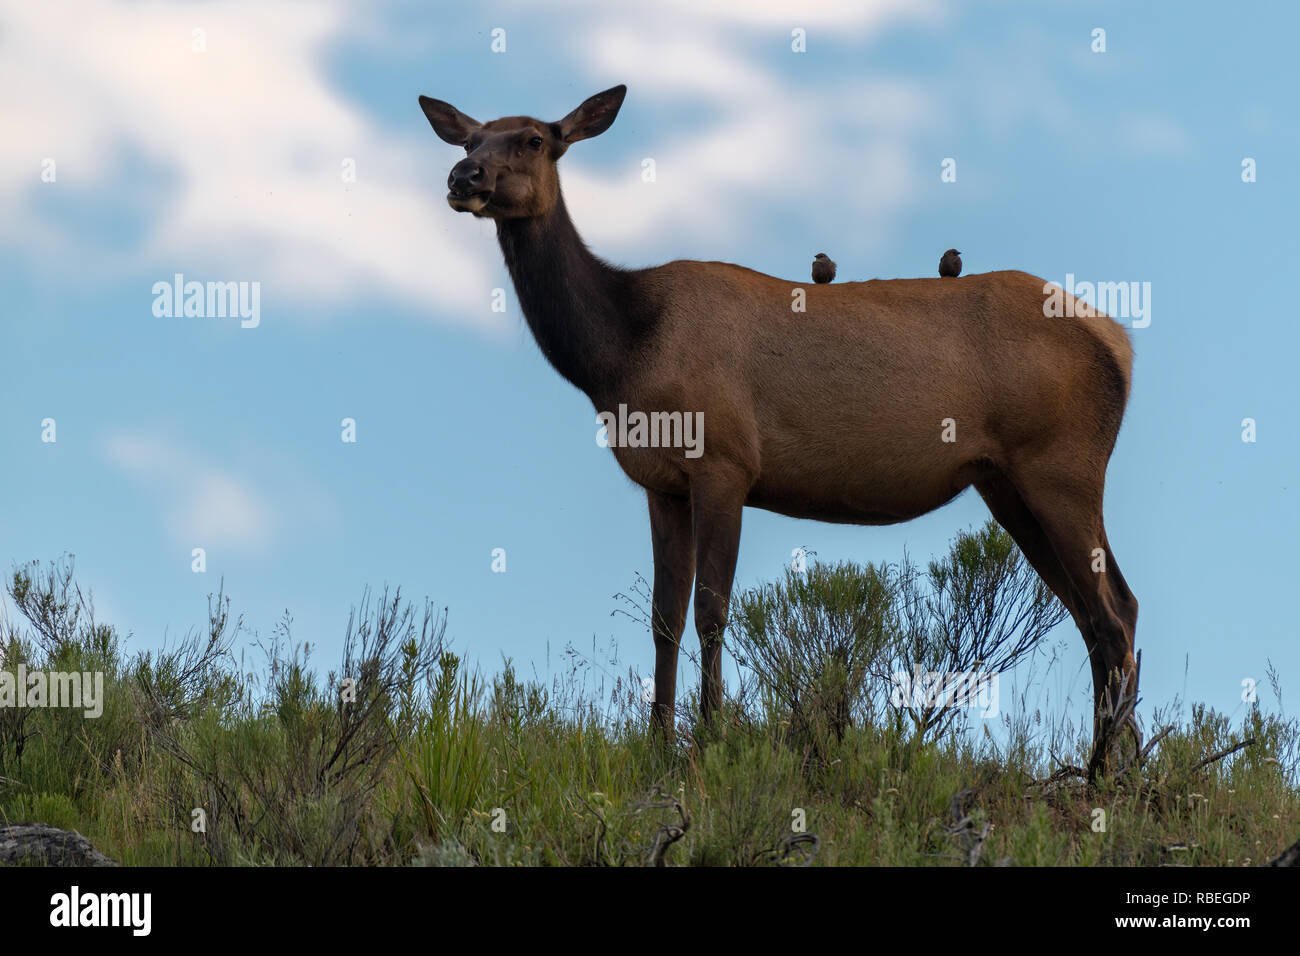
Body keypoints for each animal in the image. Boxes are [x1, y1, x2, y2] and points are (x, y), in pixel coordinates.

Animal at [419, 84, 1140, 777]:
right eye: (472, 137)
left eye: (535, 139)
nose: (462, 176)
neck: (622, 353)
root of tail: (1120, 343)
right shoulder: (661, 482)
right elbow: (663, 617)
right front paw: (657, 745)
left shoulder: (725, 461)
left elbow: (711, 611)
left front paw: (710, 742)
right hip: (1007, 482)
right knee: (1104, 611)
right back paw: (1122, 766)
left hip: (1061, 464)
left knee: (1110, 615)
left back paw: (1103, 774)